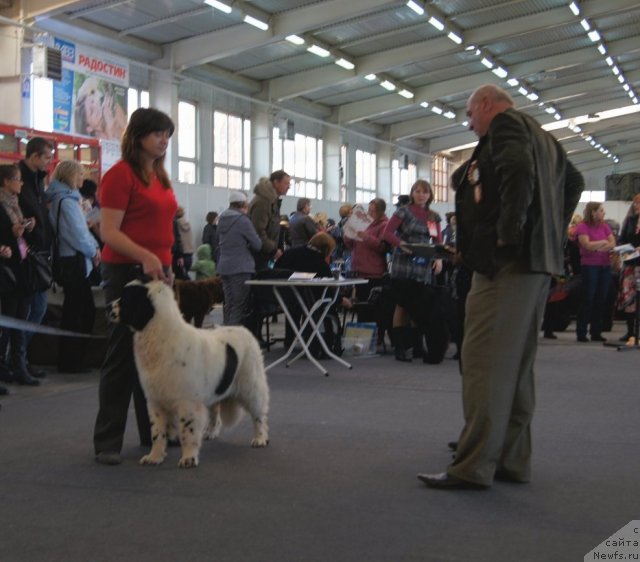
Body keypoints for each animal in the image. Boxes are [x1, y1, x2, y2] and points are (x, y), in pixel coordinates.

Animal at [109, 278, 268, 466]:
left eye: (125, 299)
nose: (107, 307)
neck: (159, 336)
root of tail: (244, 330)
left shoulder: (188, 402)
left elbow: (187, 431)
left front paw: (188, 458)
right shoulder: (156, 400)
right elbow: (157, 432)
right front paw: (154, 456)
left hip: (250, 385)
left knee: (258, 413)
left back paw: (260, 438)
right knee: (214, 412)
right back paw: (210, 432)